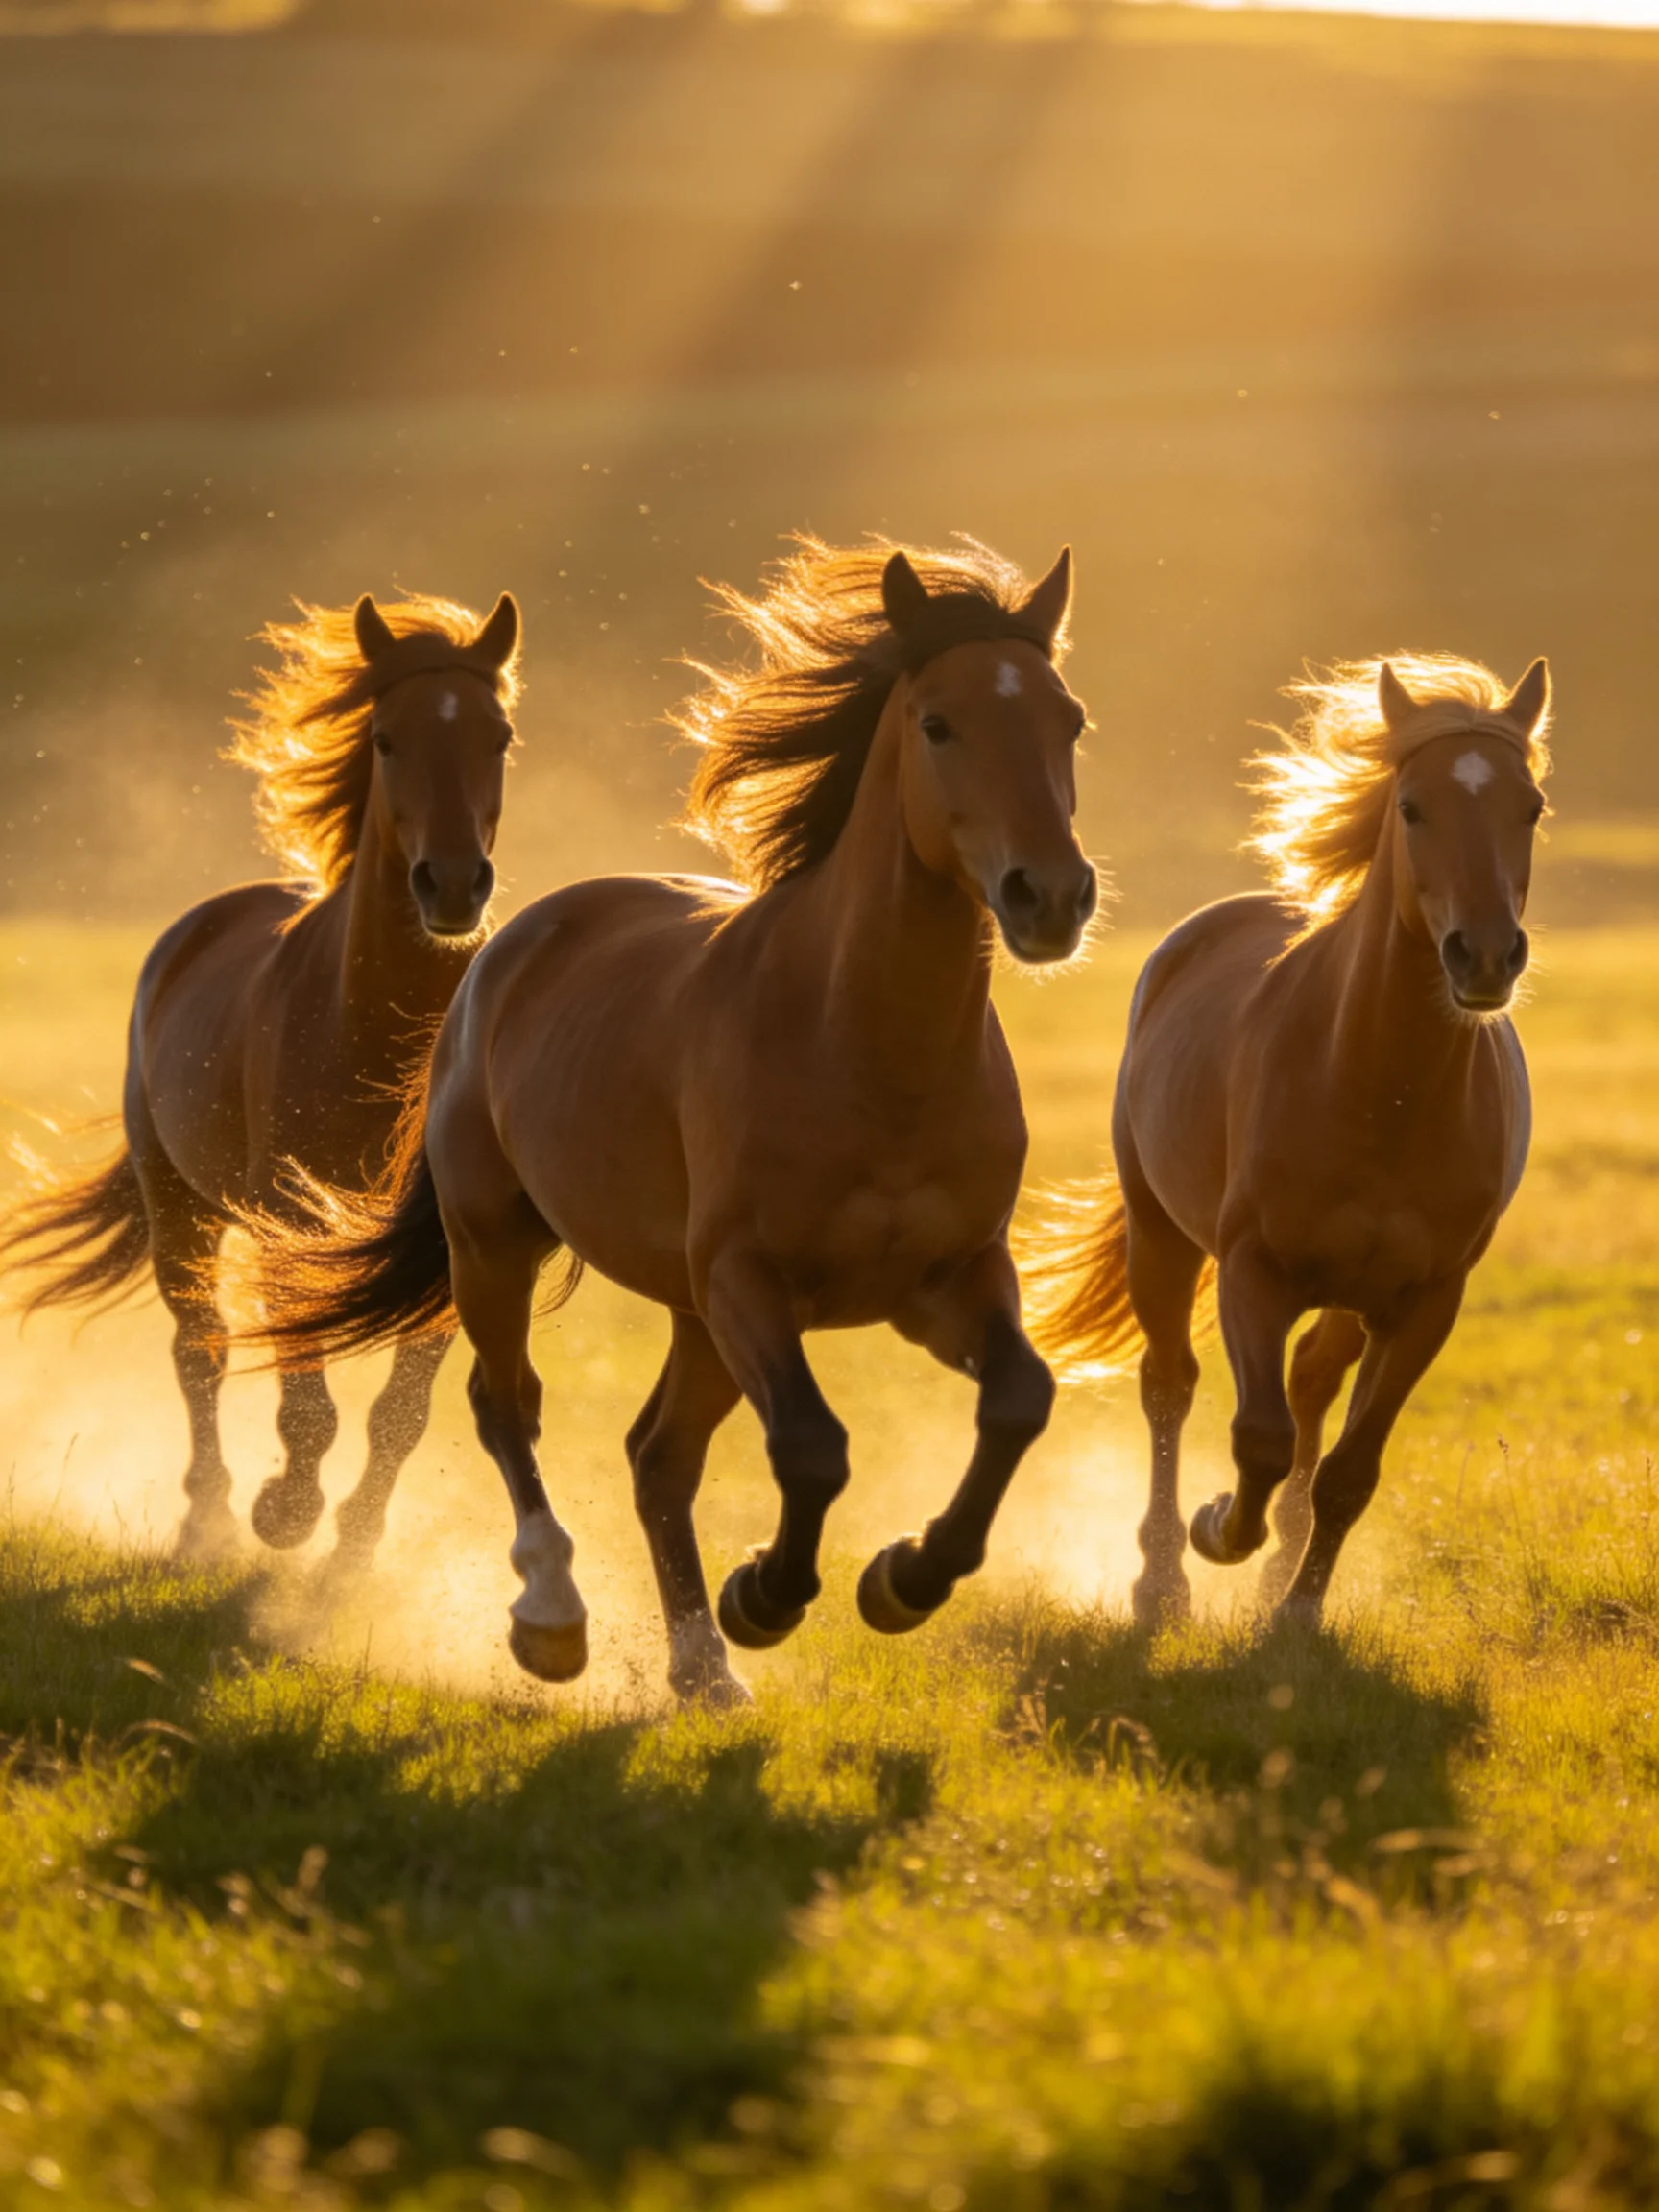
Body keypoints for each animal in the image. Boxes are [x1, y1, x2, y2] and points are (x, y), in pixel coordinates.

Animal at [0, 590, 522, 1566]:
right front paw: (286, 1512)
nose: (453, 886)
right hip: (180, 1209)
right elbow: (302, 1395)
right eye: (386, 738)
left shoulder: (448, 1242)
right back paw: (206, 1520)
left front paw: (351, 1557)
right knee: (199, 1351)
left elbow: (400, 1412)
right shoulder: (287, 1216)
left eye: (498, 734)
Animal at [238, 537, 1096, 1704]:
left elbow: (1019, 1399)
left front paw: (903, 1579)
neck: (866, 1049)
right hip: (497, 1244)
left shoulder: (948, 1279)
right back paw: (557, 1618)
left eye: (1069, 719)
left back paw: (701, 1667)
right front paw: (767, 1596)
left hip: (691, 1316)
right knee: (508, 1404)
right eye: (938, 724)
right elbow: (814, 1445)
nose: (1050, 896)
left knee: (658, 1455)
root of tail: (509, 943)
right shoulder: (749, 1281)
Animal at [1026, 651, 1551, 1628]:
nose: (1487, 957)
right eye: (1411, 806)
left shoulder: (1425, 1305)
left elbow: (1349, 1469)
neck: (1379, 1089)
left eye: (1529, 807)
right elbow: (1258, 1437)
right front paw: (1217, 1529)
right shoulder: (1252, 1271)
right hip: (1160, 1236)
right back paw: (1163, 1581)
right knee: (1170, 1384)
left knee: (1312, 1379)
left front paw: (1296, 1612)